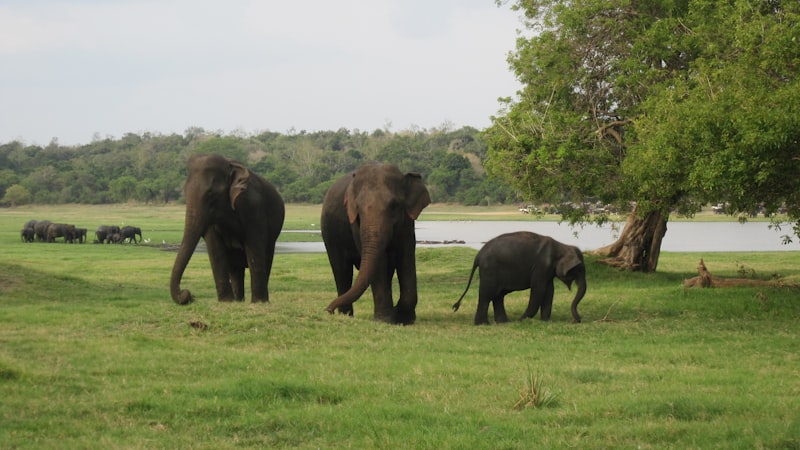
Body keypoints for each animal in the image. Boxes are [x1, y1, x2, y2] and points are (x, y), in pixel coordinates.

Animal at [170, 153, 285, 305]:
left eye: (211, 194)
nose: (187, 294)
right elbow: (215, 248)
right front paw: (226, 301)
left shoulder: (253, 207)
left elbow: (254, 247)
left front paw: (258, 303)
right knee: (236, 269)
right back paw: (238, 300)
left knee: (266, 258)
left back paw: (260, 300)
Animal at [320, 162, 431, 324]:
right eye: (358, 208)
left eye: (394, 205)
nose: (328, 310)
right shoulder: (355, 223)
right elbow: (379, 263)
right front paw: (385, 320)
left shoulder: (407, 222)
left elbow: (406, 256)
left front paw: (402, 318)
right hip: (330, 234)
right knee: (341, 269)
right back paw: (346, 315)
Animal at [452, 231, 587, 325]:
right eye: (580, 270)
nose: (577, 320)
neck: (562, 246)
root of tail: (478, 255)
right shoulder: (541, 266)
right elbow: (539, 290)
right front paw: (522, 320)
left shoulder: (548, 270)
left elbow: (549, 291)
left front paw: (546, 321)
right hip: (489, 270)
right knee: (487, 294)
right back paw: (483, 324)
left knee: (498, 295)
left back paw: (503, 322)